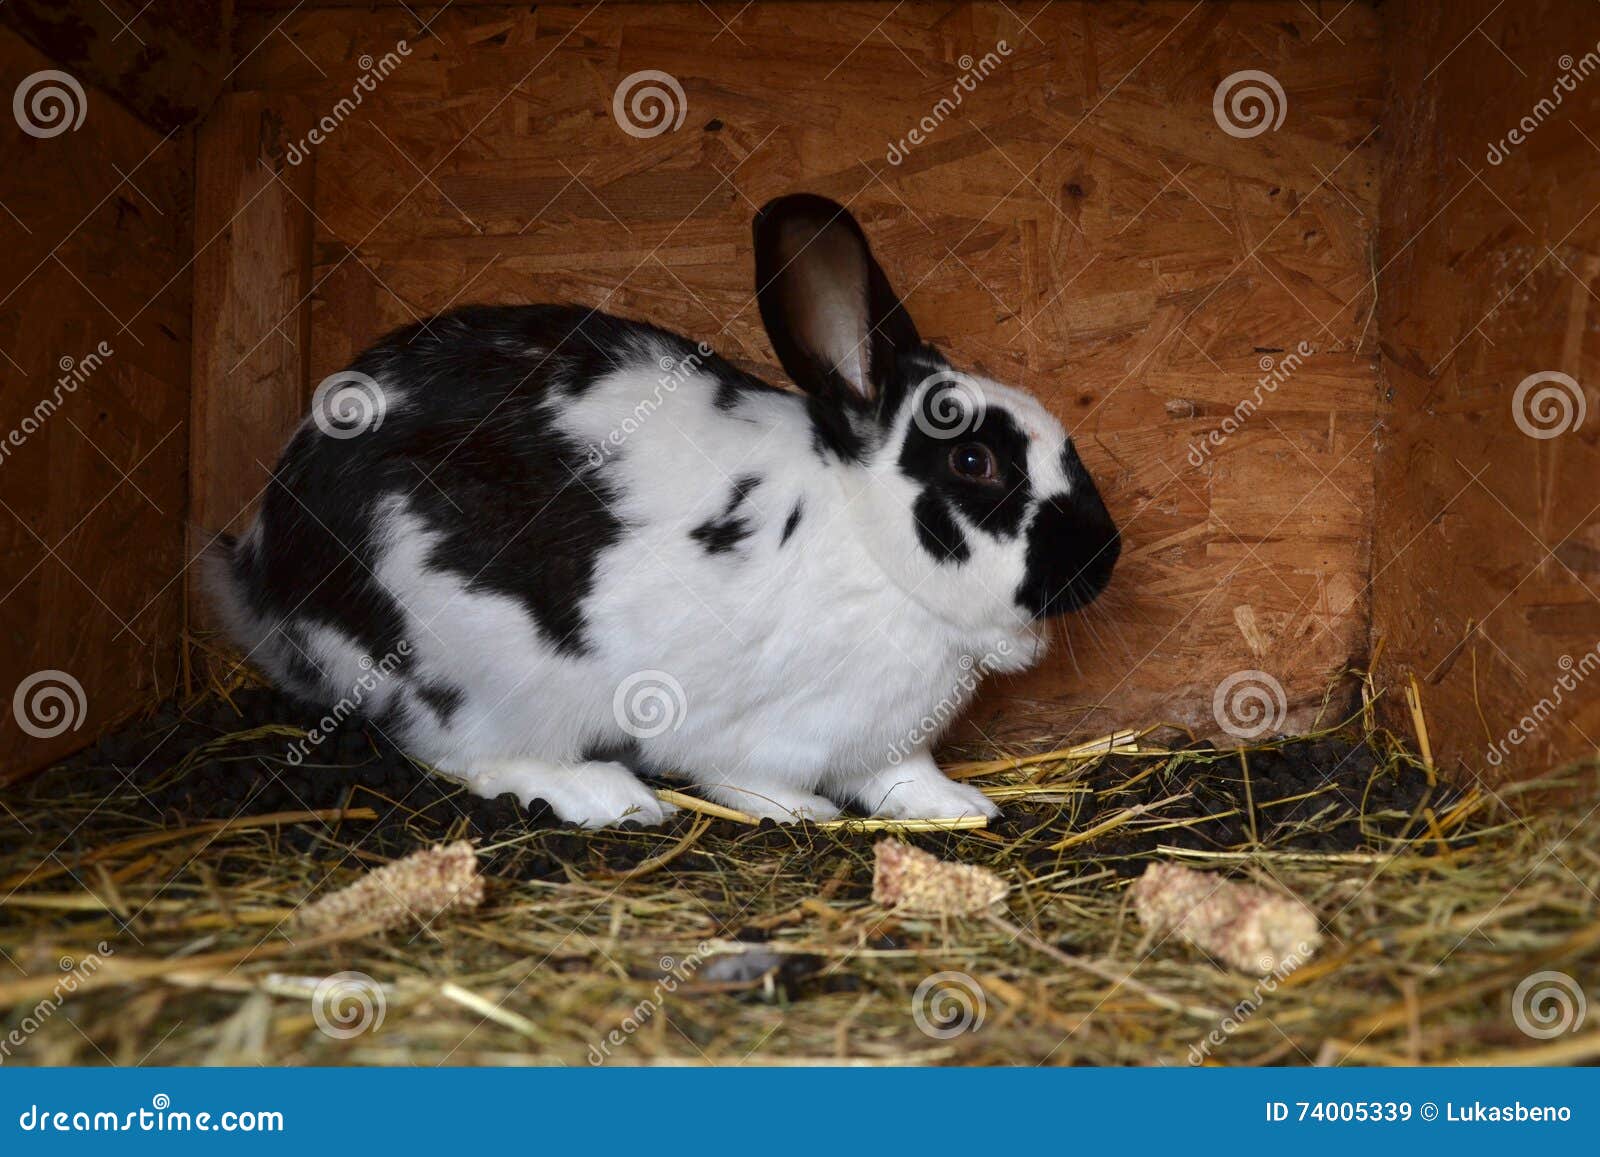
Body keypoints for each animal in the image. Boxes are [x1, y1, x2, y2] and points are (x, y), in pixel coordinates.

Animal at [205, 194, 1120, 827]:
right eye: (974, 461)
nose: (1104, 556)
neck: (871, 547)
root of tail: (272, 559)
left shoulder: (889, 743)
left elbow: (905, 778)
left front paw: (963, 806)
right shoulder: (754, 729)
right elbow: (753, 779)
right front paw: (803, 812)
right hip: (477, 665)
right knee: (470, 754)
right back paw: (607, 794)